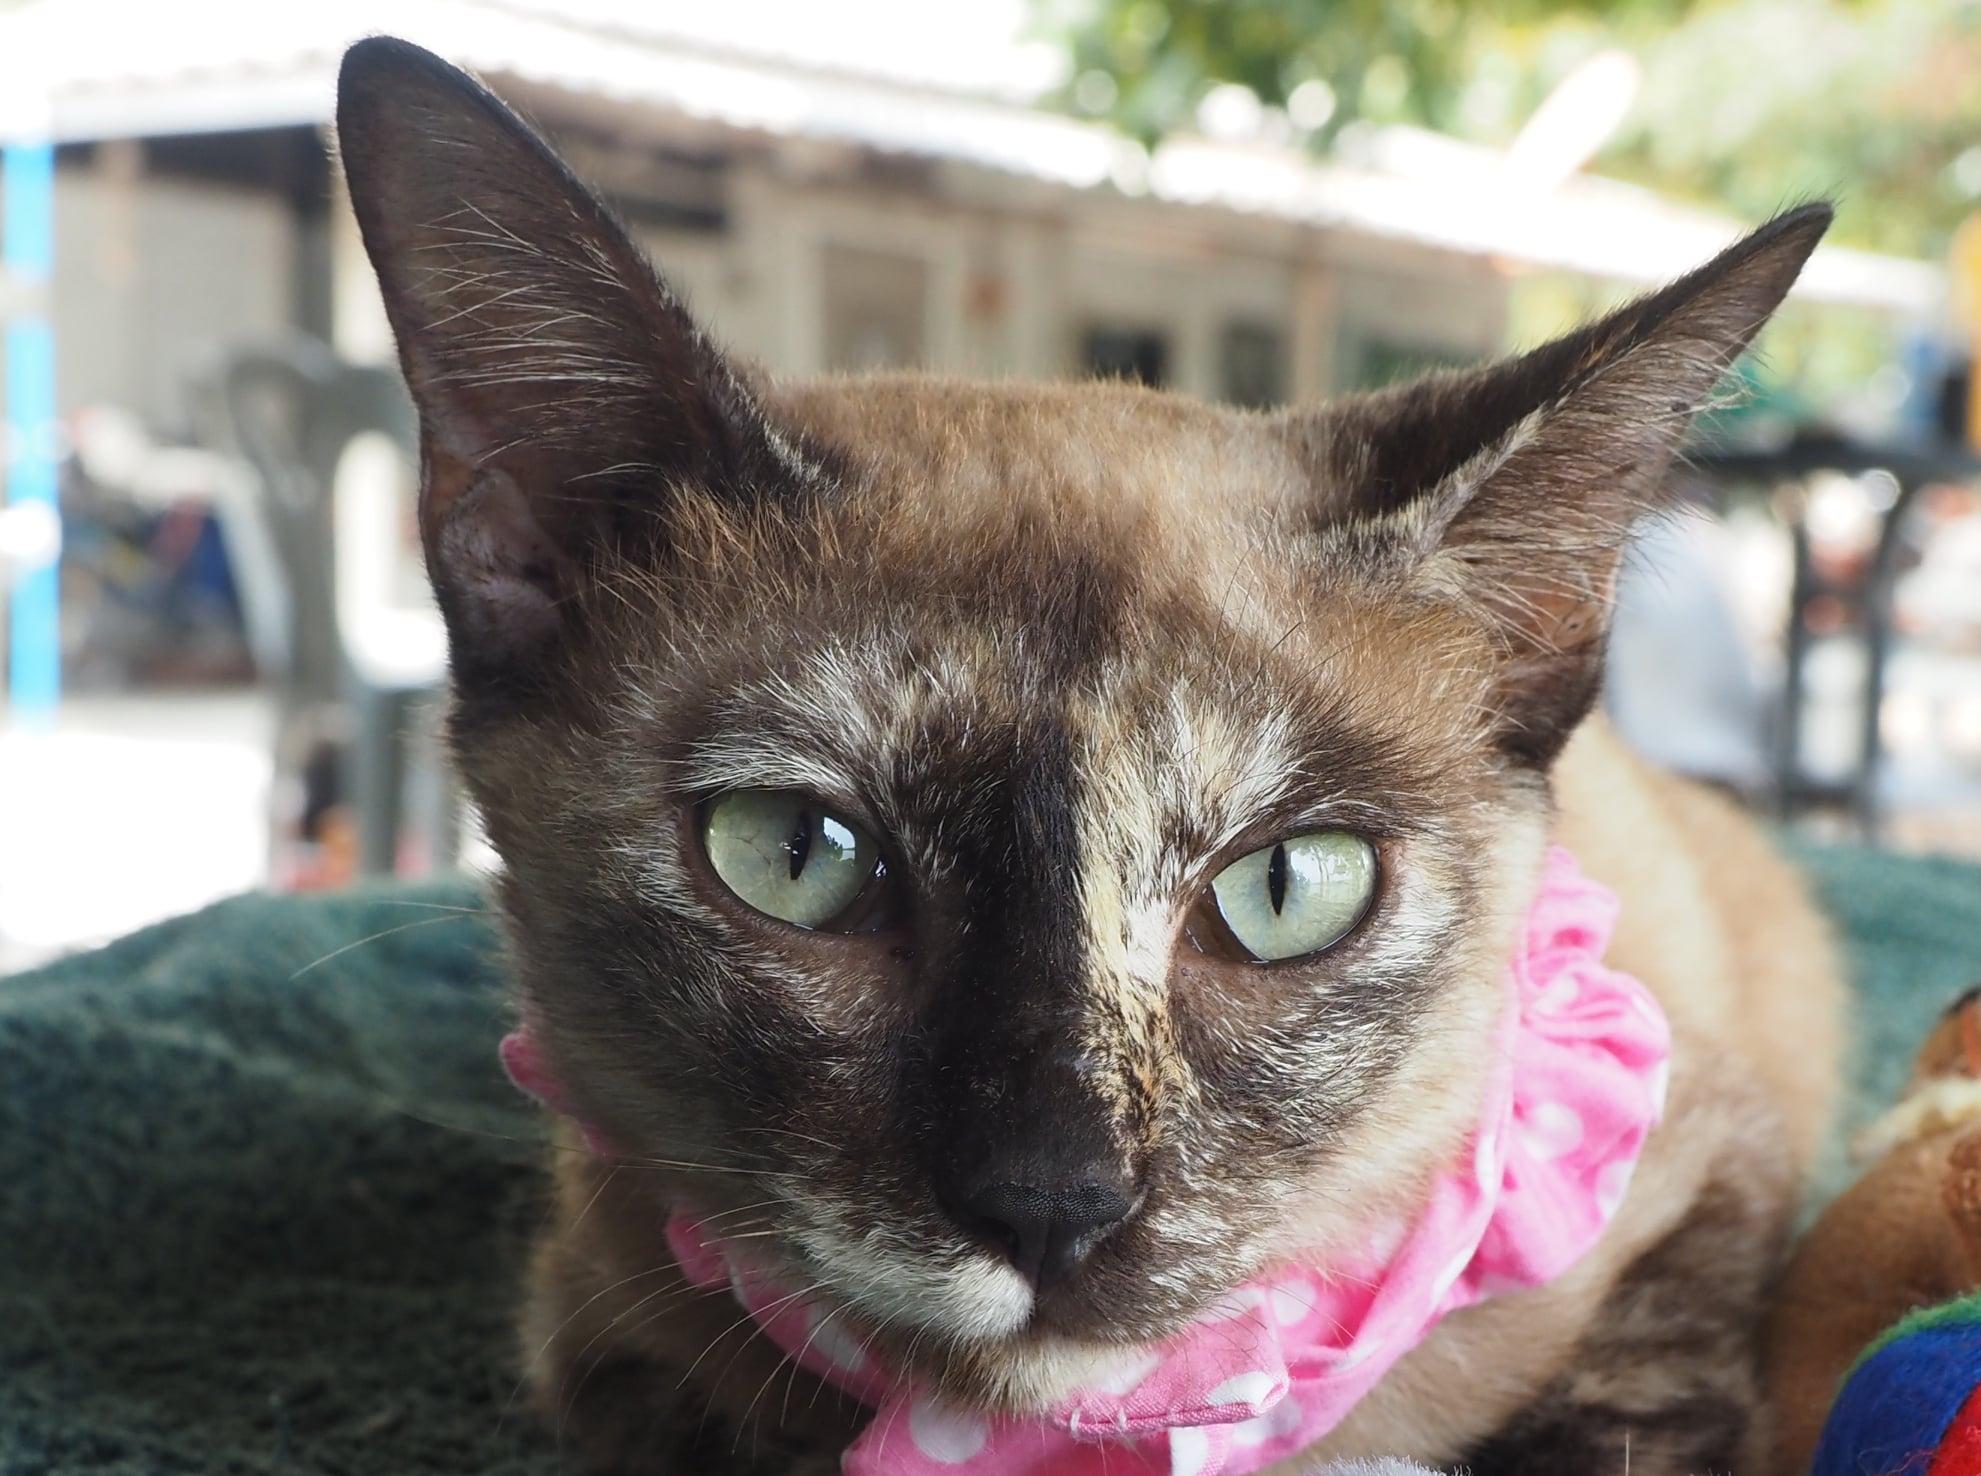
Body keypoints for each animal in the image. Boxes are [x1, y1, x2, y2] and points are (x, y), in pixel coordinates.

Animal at [337, 37, 1845, 1476]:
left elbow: (1643, 1404)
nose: (1051, 1202)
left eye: (1288, 888)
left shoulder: (1723, 1159)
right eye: (796, 857)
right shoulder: (596, 1333)